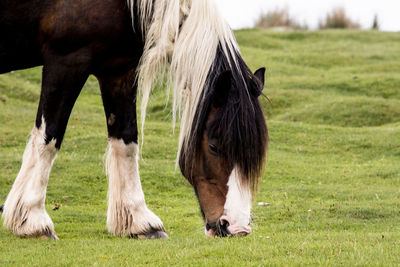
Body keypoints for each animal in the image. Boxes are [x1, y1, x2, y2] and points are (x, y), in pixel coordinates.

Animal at [1, 0, 268, 239]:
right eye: (213, 146)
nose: (236, 227)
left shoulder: (119, 70)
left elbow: (126, 141)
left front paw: (141, 222)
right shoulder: (66, 60)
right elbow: (49, 138)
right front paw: (33, 220)